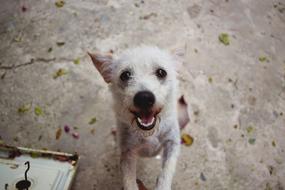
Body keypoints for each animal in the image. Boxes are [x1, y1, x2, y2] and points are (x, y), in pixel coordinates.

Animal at [87, 45, 187, 189]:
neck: (149, 132)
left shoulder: (172, 143)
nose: (144, 98)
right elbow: (129, 181)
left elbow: (166, 171)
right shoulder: (127, 153)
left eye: (161, 72)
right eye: (125, 75)